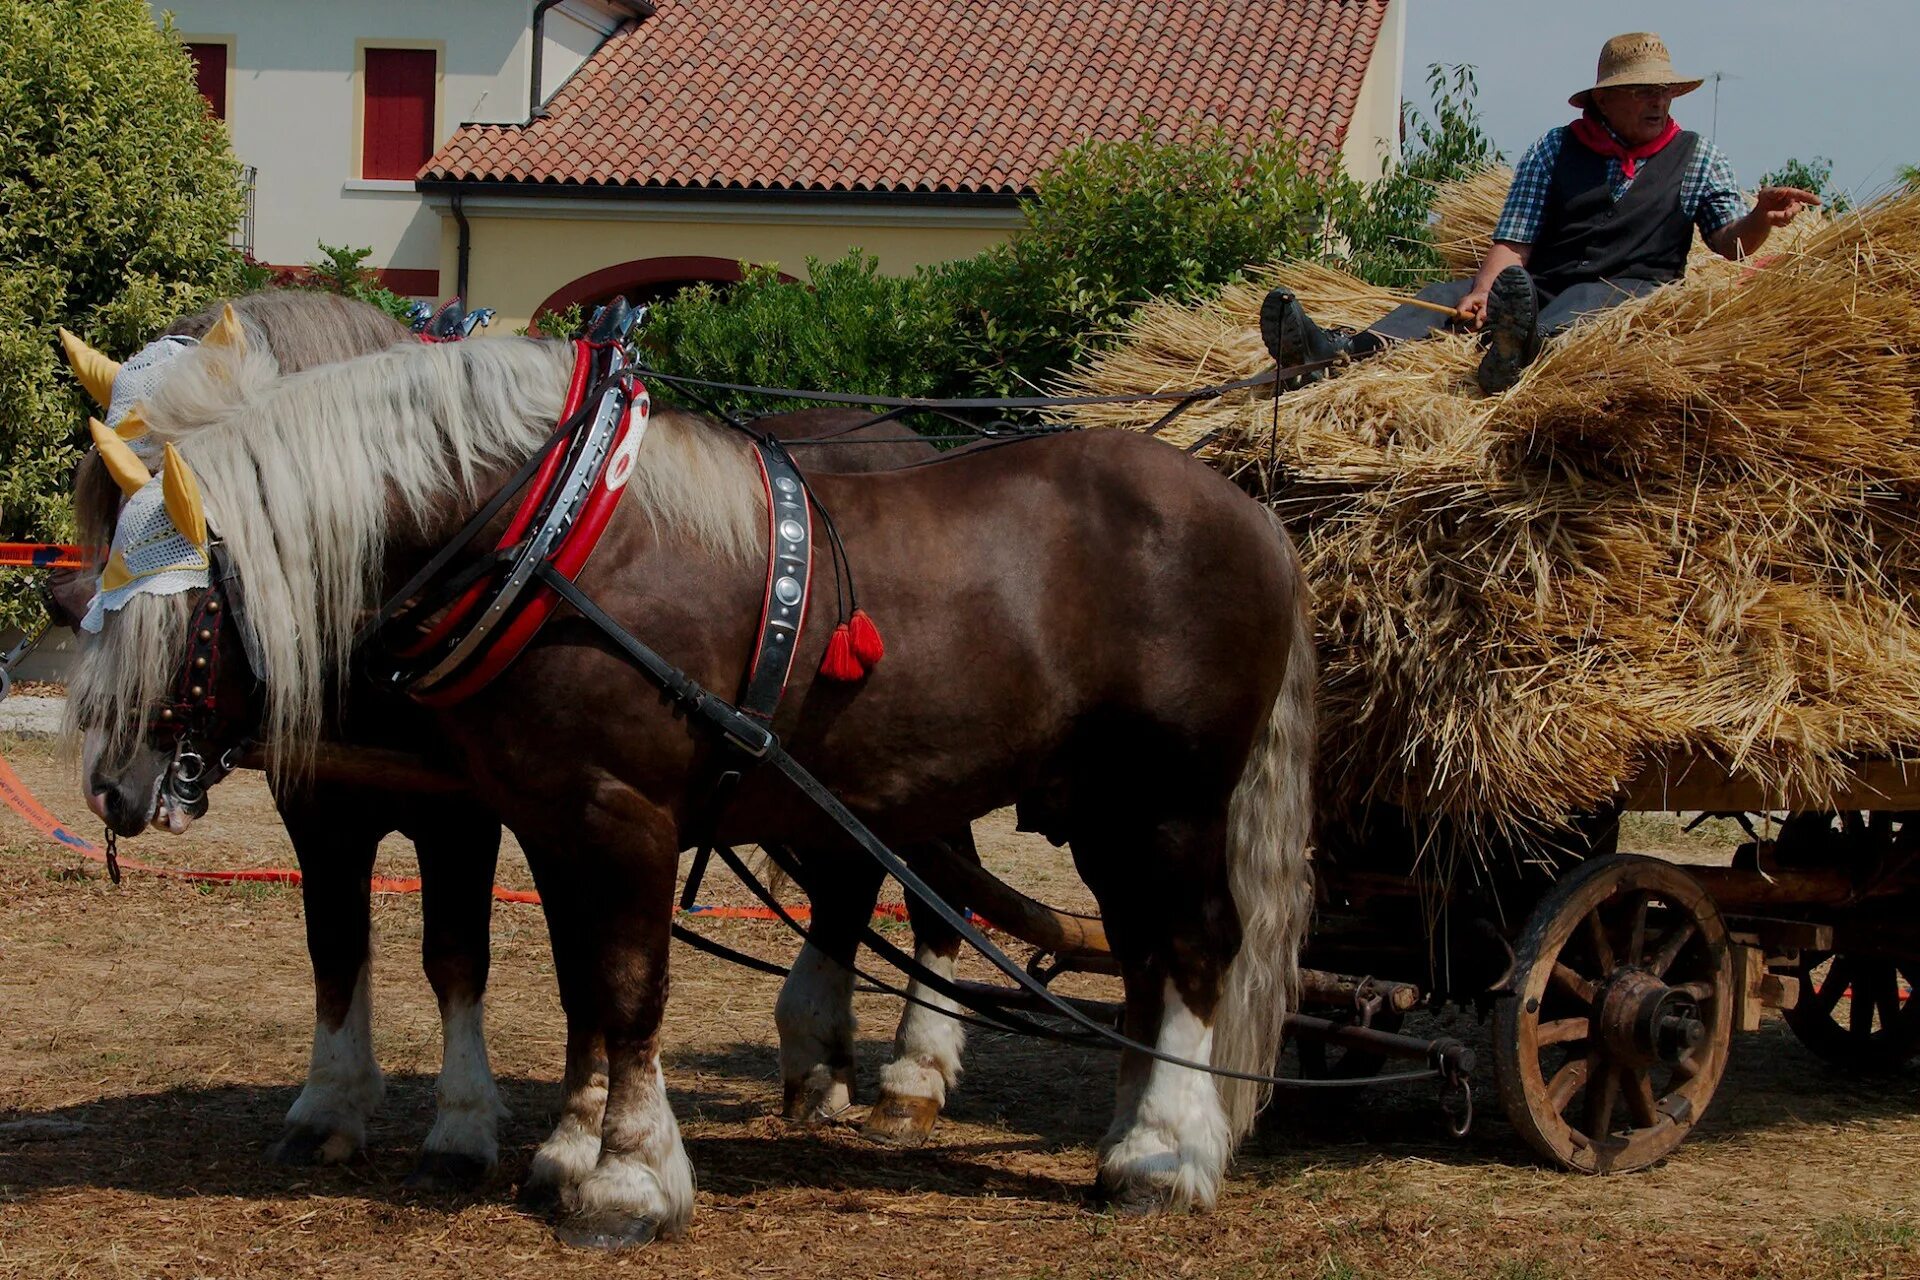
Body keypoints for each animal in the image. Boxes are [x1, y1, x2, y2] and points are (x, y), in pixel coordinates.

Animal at [67, 326, 1313, 1243]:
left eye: (184, 615)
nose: (112, 786)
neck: (554, 550)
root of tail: (1250, 510)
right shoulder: (548, 816)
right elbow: (578, 985)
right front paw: (567, 1150)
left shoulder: (619, 813)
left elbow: (626, 990)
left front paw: (628, 1179)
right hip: (1101, 810)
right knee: (1138, 954)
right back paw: (1130, 1132)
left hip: (1170, 799)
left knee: (1194, 945)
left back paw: (1165, 1152)